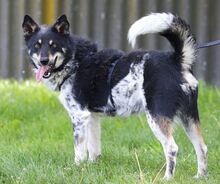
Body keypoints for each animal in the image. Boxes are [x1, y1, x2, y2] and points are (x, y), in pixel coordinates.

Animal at [22, 13, 208, 180]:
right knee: (202, 147)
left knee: (172, 148)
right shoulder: (92, 117)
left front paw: (76, 169)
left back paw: (167, 178)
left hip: (157, 118)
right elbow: (94, 149)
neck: (74, 61)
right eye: (37, 46)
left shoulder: (79, 117)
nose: (43, 61)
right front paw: (92, 168)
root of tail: (177, 60)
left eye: (53, 45)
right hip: (188, 117)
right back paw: (201, 176)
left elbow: (79, 152)